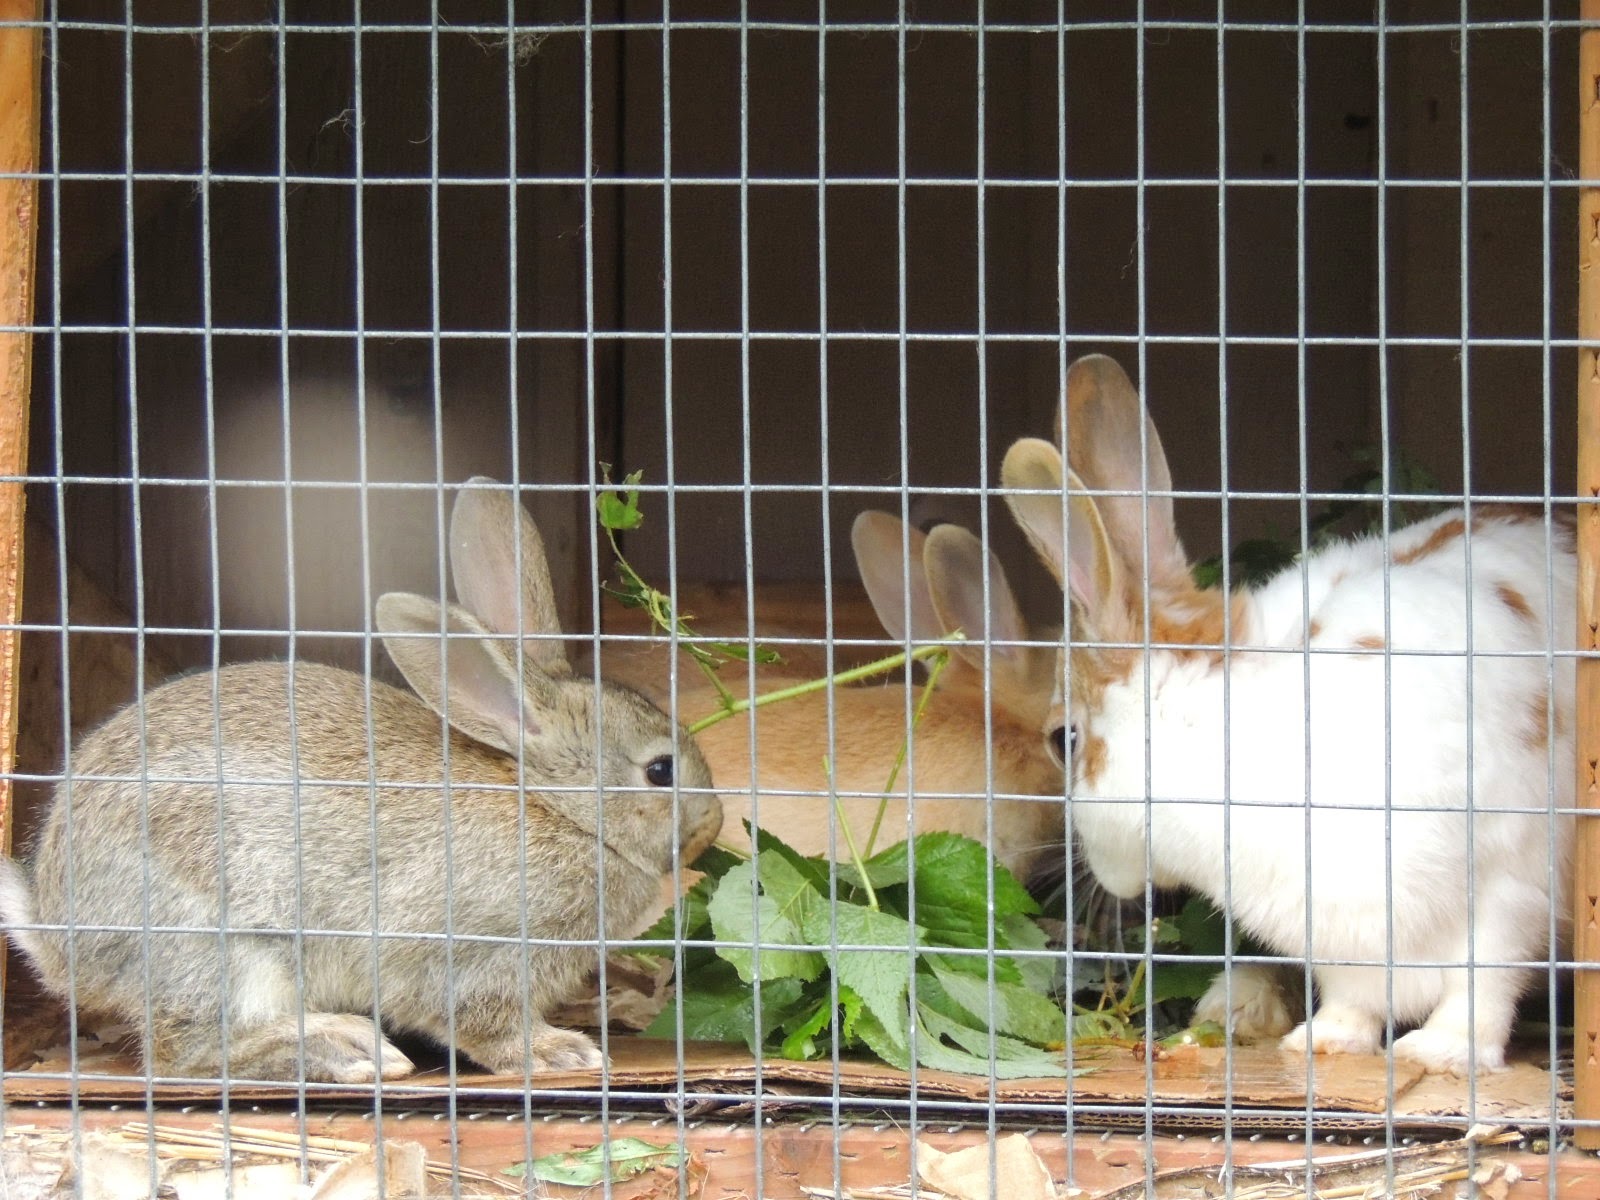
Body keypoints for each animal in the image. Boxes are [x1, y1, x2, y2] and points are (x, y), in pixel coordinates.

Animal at [0, 478, 722, 1084]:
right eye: (660, 771)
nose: (711, 827)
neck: (559, 810)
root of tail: (61, 940)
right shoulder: (472, 954)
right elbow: (484, 1022)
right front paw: (560, 1052)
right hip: (223, 947)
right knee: (186, 1052)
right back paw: (344, 1049)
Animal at [1001, 354, 1574, 1074]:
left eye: (1064, 739)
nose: (1102, 882)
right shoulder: (1343, 938)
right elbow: (1353, 995)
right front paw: (1326, 1040)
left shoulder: (1510, 883)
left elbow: (1484, 981)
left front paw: (1443, 1053)